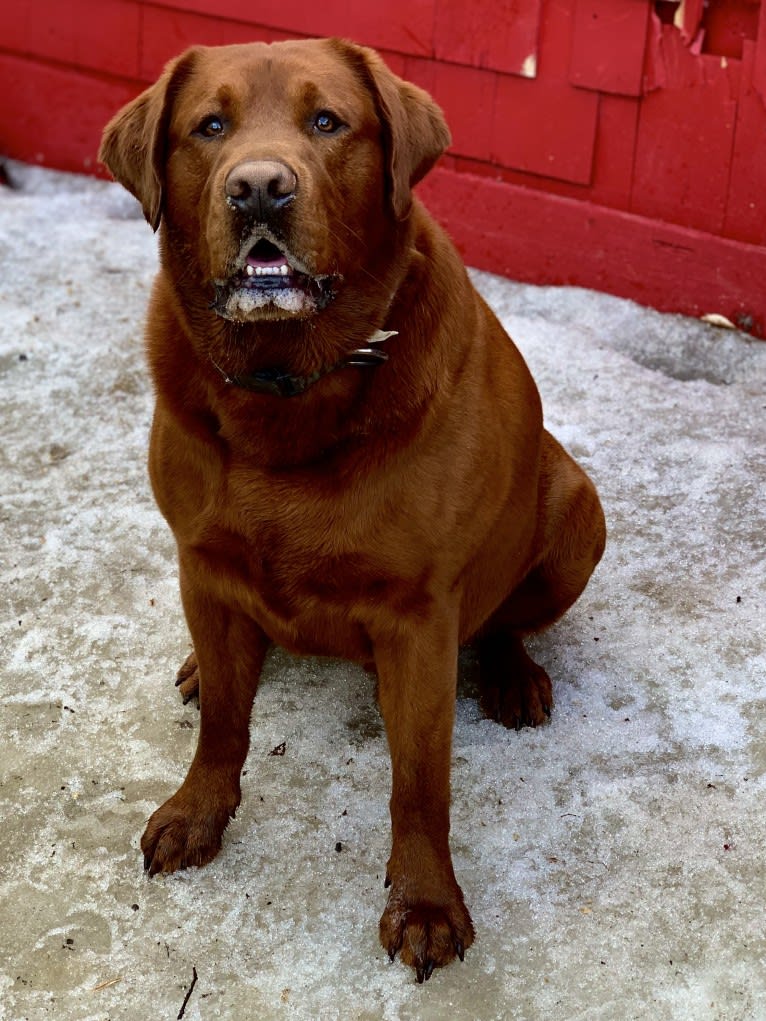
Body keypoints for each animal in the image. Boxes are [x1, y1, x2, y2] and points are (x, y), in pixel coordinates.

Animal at [100, 39, 604, 980]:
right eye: (210, 127)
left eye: (328, 121)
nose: (260, 188)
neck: (287, 383)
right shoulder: (201, 559)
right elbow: (223, 724)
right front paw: (198, 809)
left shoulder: (418, 614)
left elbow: (420, 780)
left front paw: (426, 902)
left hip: (575, 506)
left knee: (505, 618)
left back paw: (511, 673)